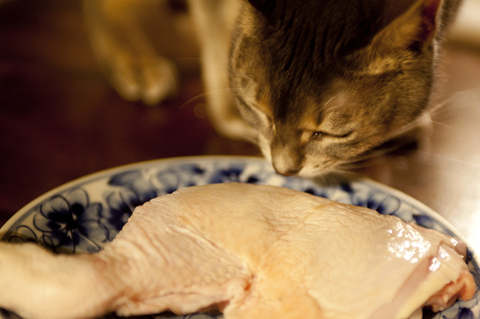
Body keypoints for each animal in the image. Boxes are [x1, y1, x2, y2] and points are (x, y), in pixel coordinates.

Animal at [82, 0, 462, 178]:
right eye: (260, 111)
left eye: (334, 134)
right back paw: (134, 59)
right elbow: (219, 39)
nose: (283, 171)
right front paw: (230, 111)